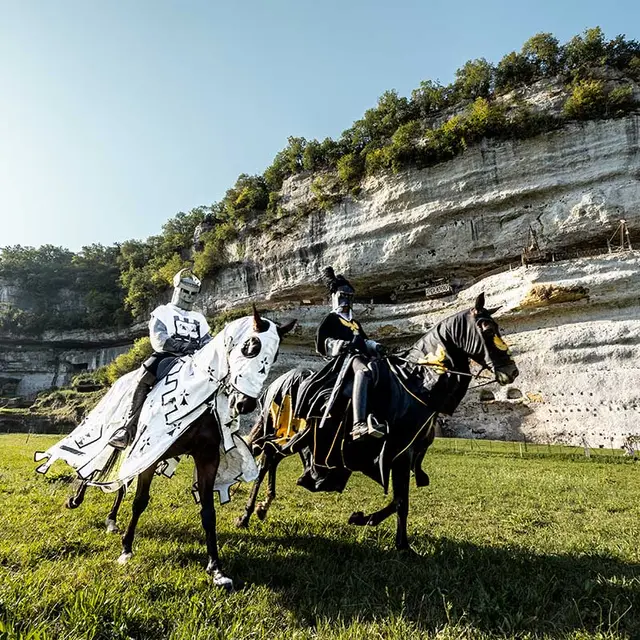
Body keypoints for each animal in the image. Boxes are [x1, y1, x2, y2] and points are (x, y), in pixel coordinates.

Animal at [238, 296, 516, 552]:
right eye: (487, 329)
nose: (511, 372)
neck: (416, 384)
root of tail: (276, 382)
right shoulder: (399, 454)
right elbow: (401, 501)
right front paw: (383, 533)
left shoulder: (404, 455)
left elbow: (399, 501)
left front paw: (385, 533)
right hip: (284, 433)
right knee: (265, 461)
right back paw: (246, 515)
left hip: (293, 439)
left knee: (271, 458)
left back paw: (262, 508)